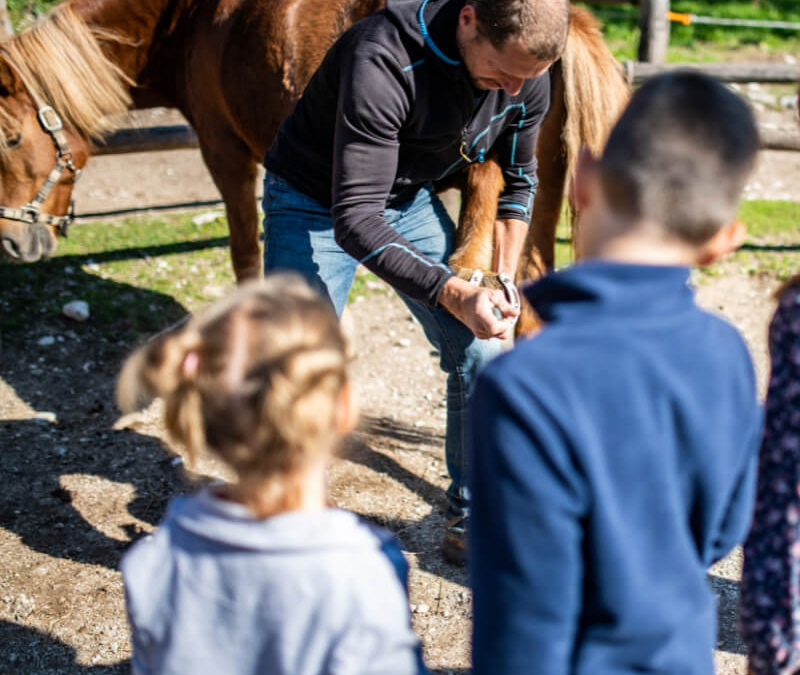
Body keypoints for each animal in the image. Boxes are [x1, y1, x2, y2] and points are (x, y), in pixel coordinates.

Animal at [0, 0, 628, 332]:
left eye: (8, 137)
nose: (13, 243)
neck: (187, 20)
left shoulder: (223, 148)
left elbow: (244, 251)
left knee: (488, 181)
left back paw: (466, 263)